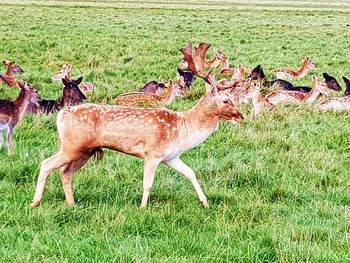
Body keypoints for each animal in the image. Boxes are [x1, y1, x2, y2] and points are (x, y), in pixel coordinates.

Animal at [29, 42, 243, 209]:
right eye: (226, 100)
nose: (241, 117)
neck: (182, 130)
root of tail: (60, 115)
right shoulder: (153, 154)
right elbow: (147, 183)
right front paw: (142, 207)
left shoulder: (171, 156)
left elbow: (191, 173)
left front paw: (205, 202)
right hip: (71, 146)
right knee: (46, 163)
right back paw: (35, 202)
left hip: (85, 151)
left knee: (65, 173)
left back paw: (71, 203)